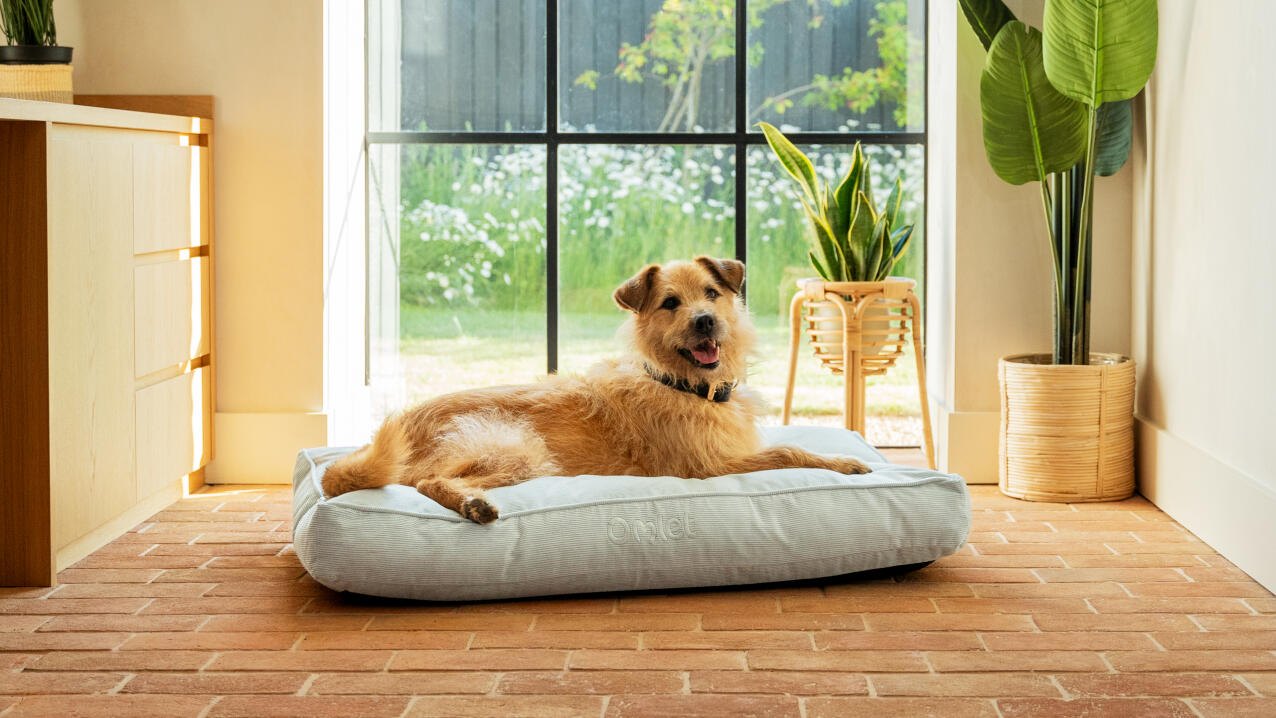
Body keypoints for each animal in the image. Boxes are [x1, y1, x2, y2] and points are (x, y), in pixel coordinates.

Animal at [324, 257, 872, 522]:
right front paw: (845, 463)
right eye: (670, 303)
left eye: (712, 293)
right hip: (519, 452)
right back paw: (471, 504)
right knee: (423, 483)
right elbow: (788, 450)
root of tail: (405, 422)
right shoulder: (709, 468)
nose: (705, 320)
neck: (683, 385)